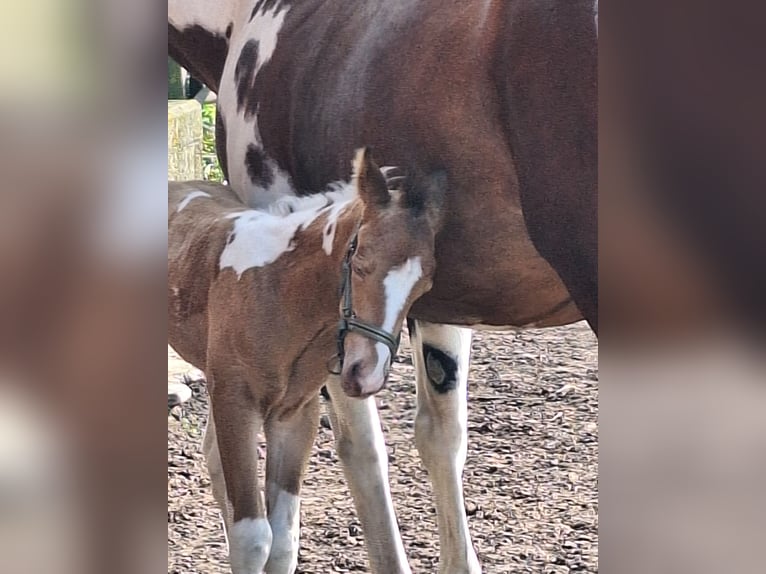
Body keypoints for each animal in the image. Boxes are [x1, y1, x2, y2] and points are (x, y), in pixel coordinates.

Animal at [168, 150, 444, 574]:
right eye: (360, 261)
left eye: (424, 284)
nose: (366, 374)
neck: (275, 289)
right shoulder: (236, 404)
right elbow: (254, 539)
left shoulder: (294, 415)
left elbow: (283, 541)